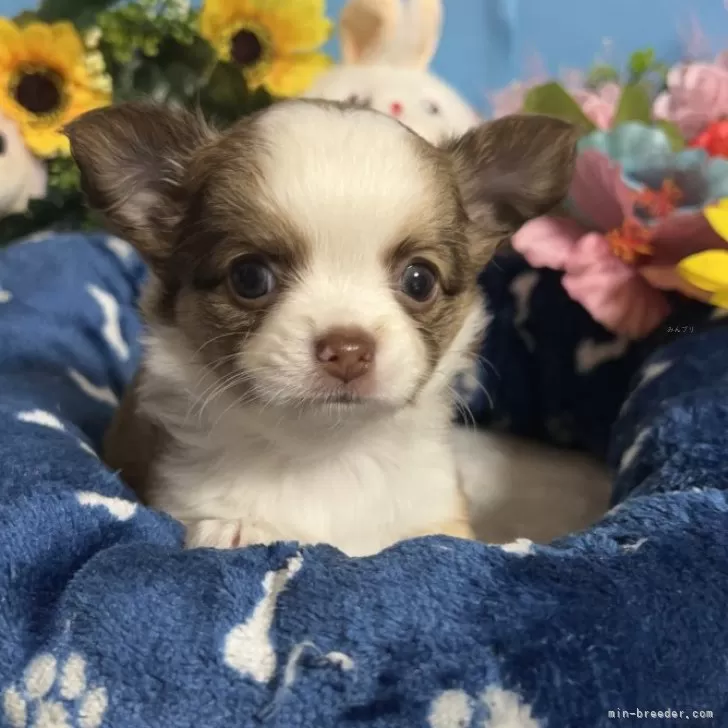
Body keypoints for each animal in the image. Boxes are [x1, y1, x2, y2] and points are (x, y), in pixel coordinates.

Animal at [68, 99, 576, 556]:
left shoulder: (438, 515)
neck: (325, 454)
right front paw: (239, 528)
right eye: (249, 277)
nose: (348, 348)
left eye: (420, 280)